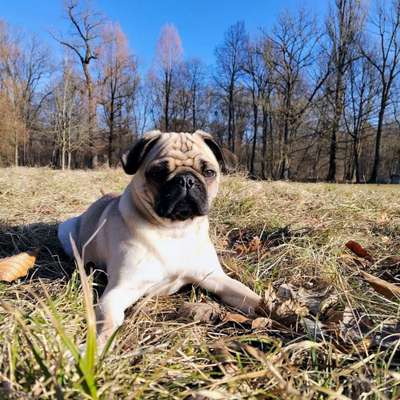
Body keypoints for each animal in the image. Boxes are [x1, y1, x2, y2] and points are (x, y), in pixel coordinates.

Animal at [57, 130, 260, 348]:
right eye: (158, 173)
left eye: (208, 172)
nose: (186, 179)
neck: (175, 231)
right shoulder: (121, 289)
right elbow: (108, 320)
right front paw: (97, 346)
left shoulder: (215, 278)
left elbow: (247, 294)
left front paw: (272, 310)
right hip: (66, 231)